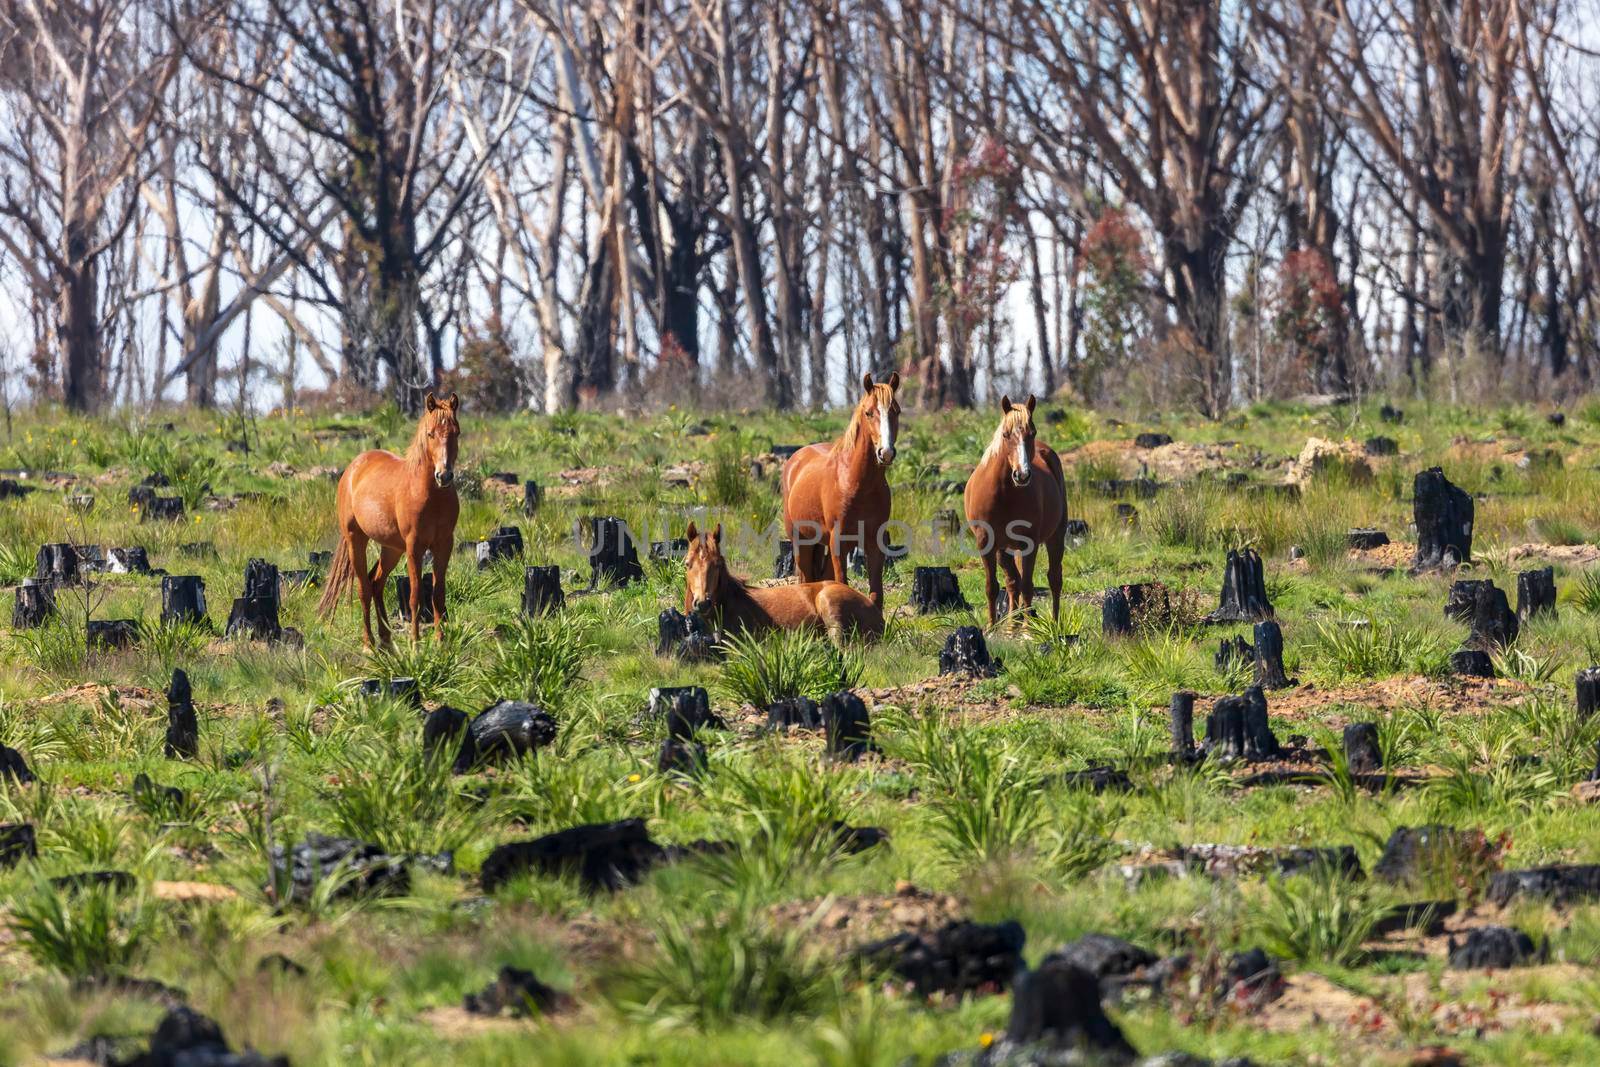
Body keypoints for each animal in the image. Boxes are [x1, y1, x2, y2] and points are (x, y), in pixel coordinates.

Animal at [315, 390, 460, 646]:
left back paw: (386, 640)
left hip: (391, 548)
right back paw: (369, 644)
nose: (444, 475)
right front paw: (415, 643)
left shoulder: (444, 545)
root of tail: (353, 468)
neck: (430, 495)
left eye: (456, 432)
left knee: (376, 583)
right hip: (356, 540)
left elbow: (438, 595)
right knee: (364, 588)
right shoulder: (414, 547)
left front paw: (439, 641)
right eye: (430, 434)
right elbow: (415, 596)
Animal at [953, 391, 1068, 627]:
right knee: (1013, 581)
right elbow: (993, 586)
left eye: (1032, 433)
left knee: (1053, 578)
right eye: (1006, 434)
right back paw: (1012, 623)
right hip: (1004, 549)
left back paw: (1051, 623)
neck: (1004, 493)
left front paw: (1027, 628)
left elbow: (1028, 585)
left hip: (1055, 537)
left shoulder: (1029, 543)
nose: (1022, 475)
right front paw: (991, 626)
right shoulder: (986, 542)